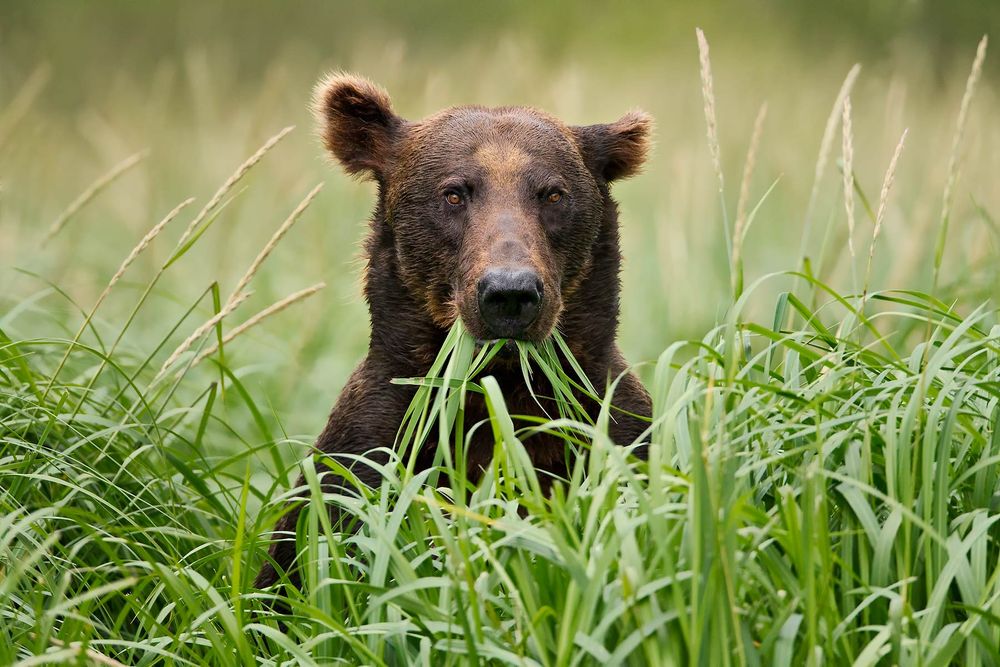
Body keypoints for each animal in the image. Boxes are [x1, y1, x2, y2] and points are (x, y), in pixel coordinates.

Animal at [255, 73, 653, 590]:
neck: (499, 379)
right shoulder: (367, 450)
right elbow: (301, 562)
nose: (509, 292)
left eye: (552, 194)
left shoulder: (612, 429)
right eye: (454, 193)